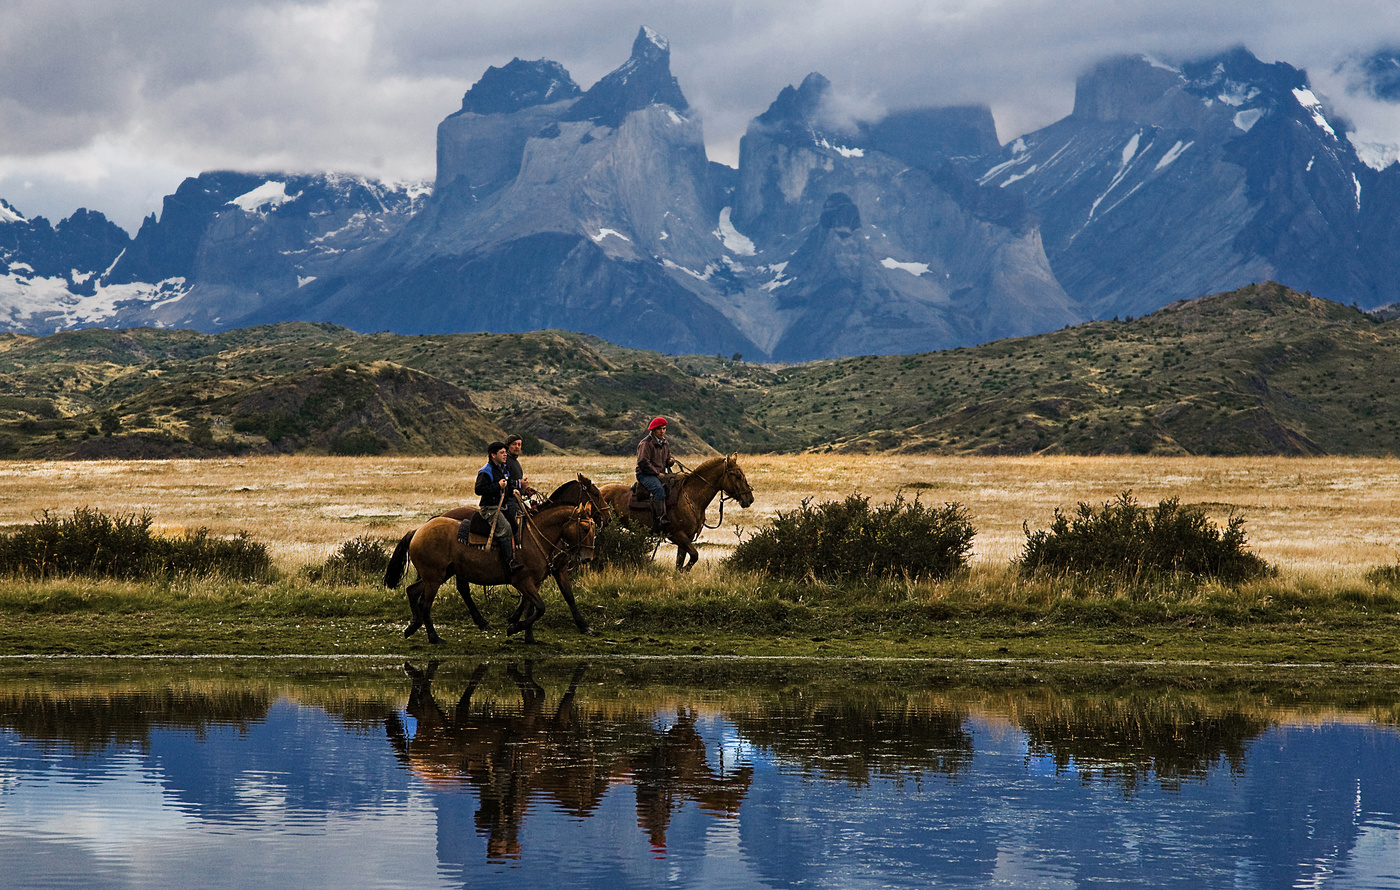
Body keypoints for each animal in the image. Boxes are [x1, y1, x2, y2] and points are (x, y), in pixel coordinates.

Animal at [386, 498, 599, 643]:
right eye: (584, 528)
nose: (587, 558)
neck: (534, 537)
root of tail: (418, 530)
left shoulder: (536, 581)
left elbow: (532, 607)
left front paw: (528, 636)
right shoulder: (522, 581)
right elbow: (539, 608)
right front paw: (514, 628)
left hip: (439, 575)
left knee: (412, 591)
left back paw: (413, 627)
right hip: (434, 577)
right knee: (426, 603)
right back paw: (434, 636)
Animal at [599, 450, 756, 570]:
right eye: (738, 476)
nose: (749, 499)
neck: (691, 497)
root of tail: (600, 490)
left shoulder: (687, 537)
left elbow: (680, 561)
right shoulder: (677, 535)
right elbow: (694, 556)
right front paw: (685, 571)